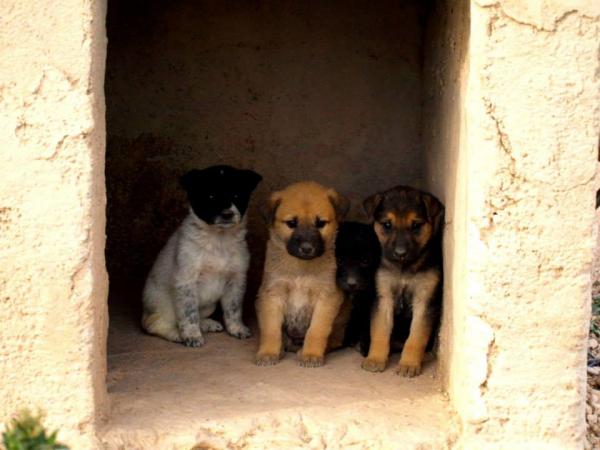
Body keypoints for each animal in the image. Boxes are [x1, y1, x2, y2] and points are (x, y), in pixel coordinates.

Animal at [143, 167, 262, 346]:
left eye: (236, 195)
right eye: (211, 196)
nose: (227, 214)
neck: (218, 239)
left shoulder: (236, 280)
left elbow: (233, 309)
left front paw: (237, 329)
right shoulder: (186, 281)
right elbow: (189, 313)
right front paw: (192, 335)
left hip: (209, 305)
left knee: (200, 315)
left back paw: (207, 324)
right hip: (162, 305)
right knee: (154, 324)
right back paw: (176, 334)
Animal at [255, 181, 350, 368]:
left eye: (320, 223)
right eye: (291, 223)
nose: (307, 248)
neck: (300, 267)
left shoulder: (327, 297)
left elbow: (317, 330)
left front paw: (311, 354)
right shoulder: (272, 294)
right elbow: (271, 329)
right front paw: (268, 352)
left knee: (334, 340)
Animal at [358, 185, 442, 376]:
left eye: (416, 225)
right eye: (387, 225)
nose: (400, 253)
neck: (404, 268)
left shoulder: (424, 301)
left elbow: (417, 336)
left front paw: (409, 364)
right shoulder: (384, 298)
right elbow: (380, 331)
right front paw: (375, 359)